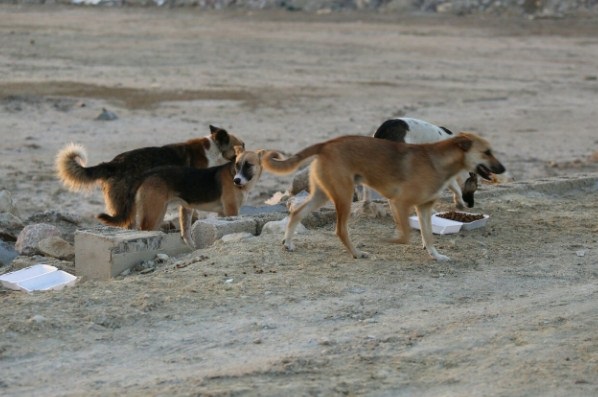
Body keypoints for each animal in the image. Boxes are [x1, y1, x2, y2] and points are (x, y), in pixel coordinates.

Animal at [134, 147, 264, 246]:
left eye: (248, 165)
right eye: (237, 165)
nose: (236, 180)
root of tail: (148, 176)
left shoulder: (222, 213)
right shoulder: (231, 210)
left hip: (159, 213)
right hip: (153, 214)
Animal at [264, 133, 504, 262]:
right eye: (487, 152)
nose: (503, 169)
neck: (438, 161)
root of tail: (326, 144)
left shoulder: (424, 208)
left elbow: (428, 236)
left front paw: (435, 256)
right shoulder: (400, 203)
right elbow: (406, 235)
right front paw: (390, 240)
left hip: (322, 195)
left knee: (296, 212)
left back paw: (288, 243)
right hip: (343, 196)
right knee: (340, 230)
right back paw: (356, 253)